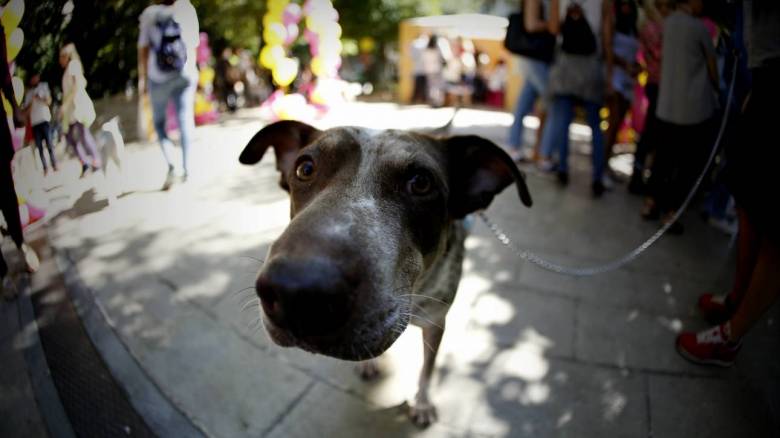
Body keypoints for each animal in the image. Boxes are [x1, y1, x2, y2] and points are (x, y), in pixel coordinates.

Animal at [238, 119, 532, 424]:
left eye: (421, 182)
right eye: (305, 168)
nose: (297, 293)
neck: (415, 293)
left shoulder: (436, 324)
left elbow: (427, 370)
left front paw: (422, 404)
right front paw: (371, 364)